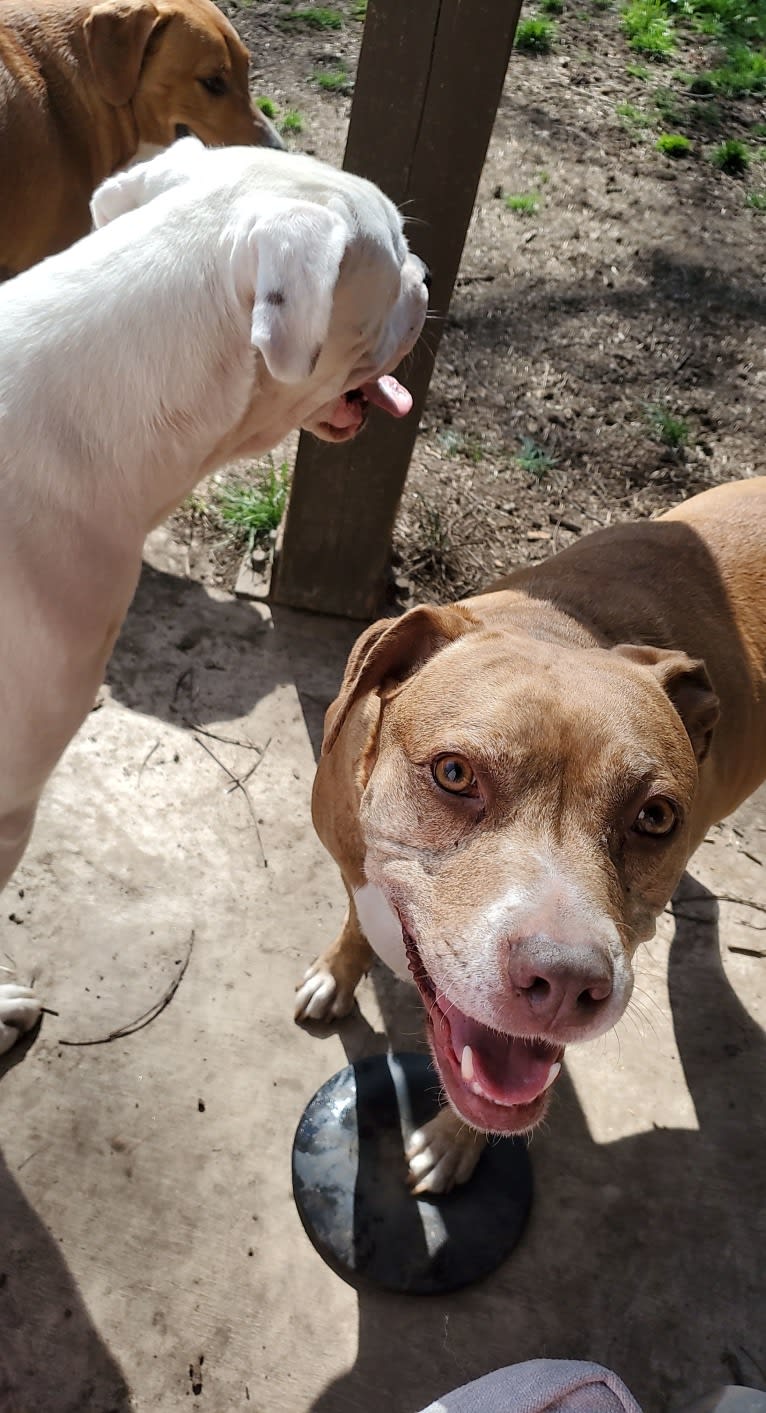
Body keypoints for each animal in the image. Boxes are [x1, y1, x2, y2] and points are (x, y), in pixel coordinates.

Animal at [296, 483, 766, 1192]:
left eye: (655, 817)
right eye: (455, 774)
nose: (568, 982)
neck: (556, 627)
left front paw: (452, 1143)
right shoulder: (351, 856)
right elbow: (356, 916)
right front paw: (335, 974)